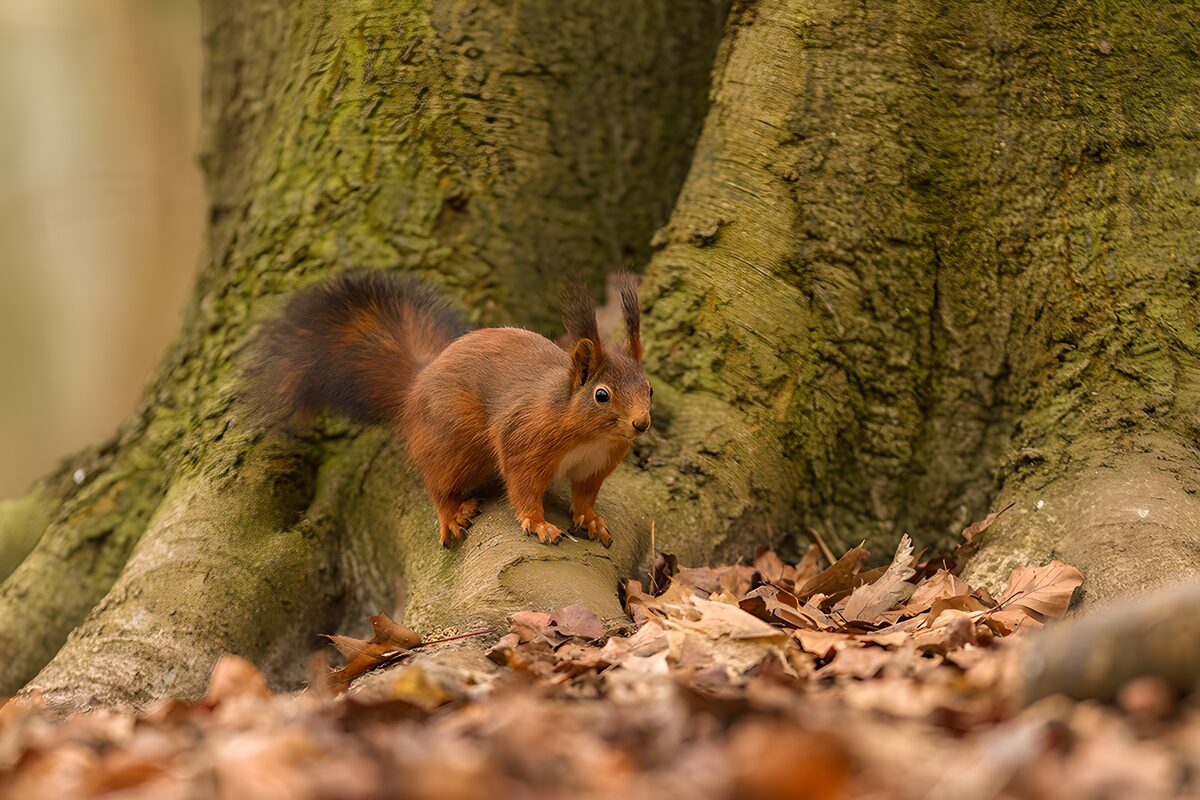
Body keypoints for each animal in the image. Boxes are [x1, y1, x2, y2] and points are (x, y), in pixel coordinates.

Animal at [245, 270, 651, 549]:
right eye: (601, 395)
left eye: (648, 387)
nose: (641, 423)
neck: (589, 435)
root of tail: (414, 388)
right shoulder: (525, 441)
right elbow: (523, 488)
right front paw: (538, 524)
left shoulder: (595, 464)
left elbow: (585, 495)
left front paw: (591, 519)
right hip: (456, 442)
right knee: (437, 482)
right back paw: (452, 513)